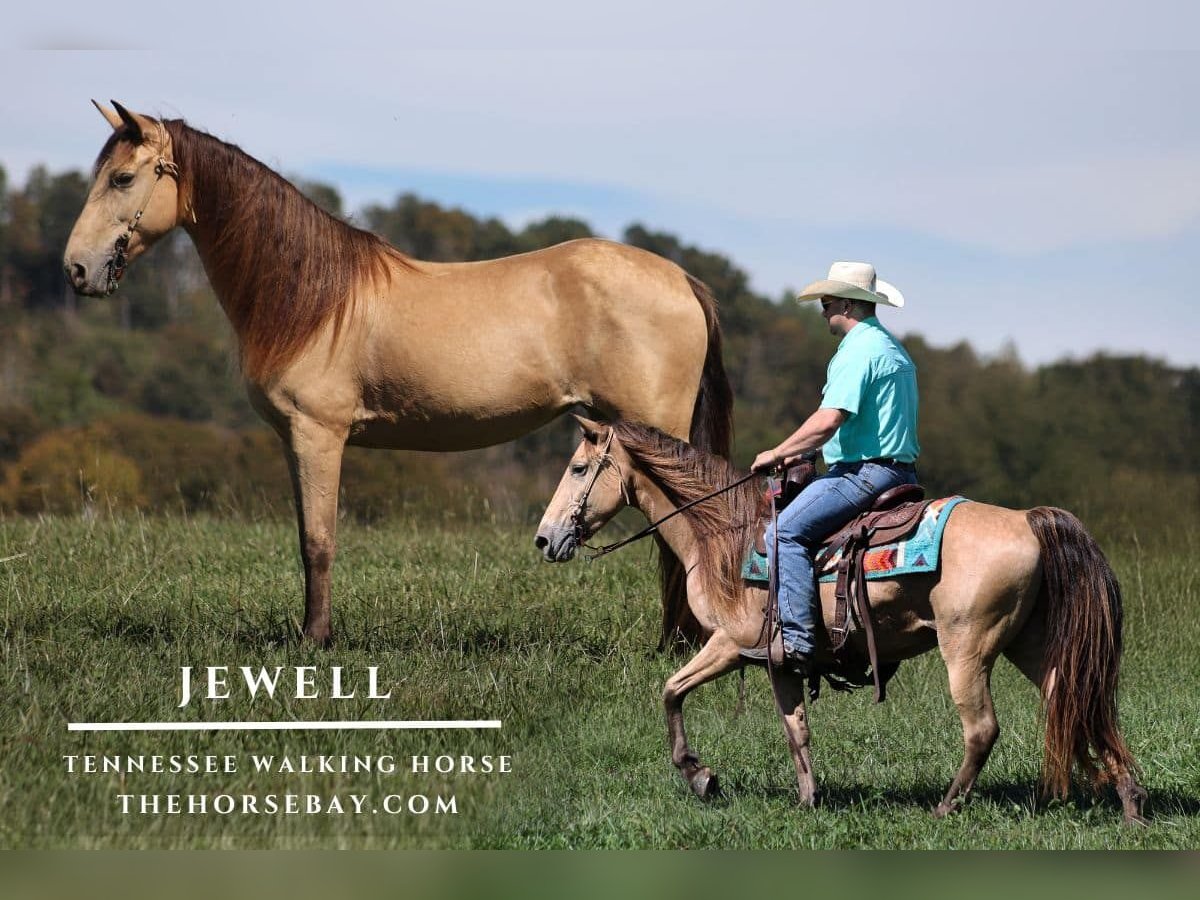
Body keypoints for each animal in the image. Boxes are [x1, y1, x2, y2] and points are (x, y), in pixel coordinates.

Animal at [63, 101, 733, 645]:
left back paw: (678, 646)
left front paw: (316, 642)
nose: (76, 269)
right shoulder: (294, 441)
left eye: (122, 178)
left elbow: (320, 542)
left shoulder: (319, 434)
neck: (313, 299)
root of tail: (682, 280)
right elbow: (305, 539)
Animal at [534, 416, 1149, 825]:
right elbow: (795, 728)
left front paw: (699, 774)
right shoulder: (778, 659)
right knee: (1080, 703)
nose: (545, 539)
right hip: (1033, 645)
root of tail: (1030, 519)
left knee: (983, 729)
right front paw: (808, 799)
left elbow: (671, 690)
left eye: (579, 467)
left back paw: (947, 806)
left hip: (968, 650)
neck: (726, 537)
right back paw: (1130, 803)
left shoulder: (730, 644)